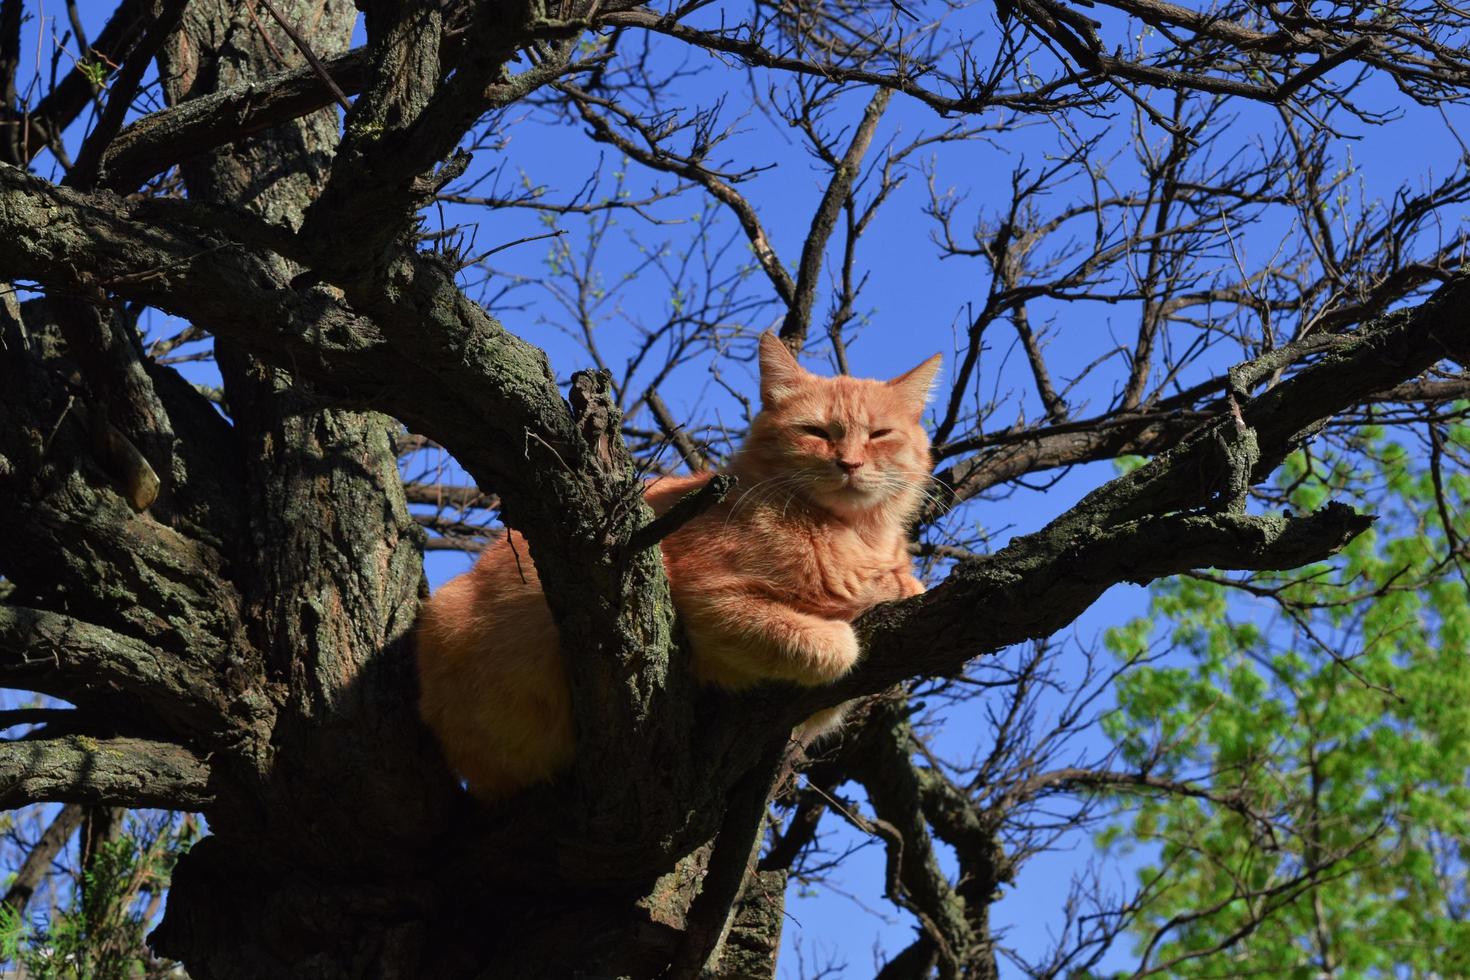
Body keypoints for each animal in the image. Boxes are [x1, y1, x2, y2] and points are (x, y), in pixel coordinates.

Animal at [414, 333, 940, 799]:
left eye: (879, 435)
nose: (849, 464)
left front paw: (896, 585)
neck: (851, 535)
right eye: (815, 432)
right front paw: (843, 629)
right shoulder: (703, 603)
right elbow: (825, 646)